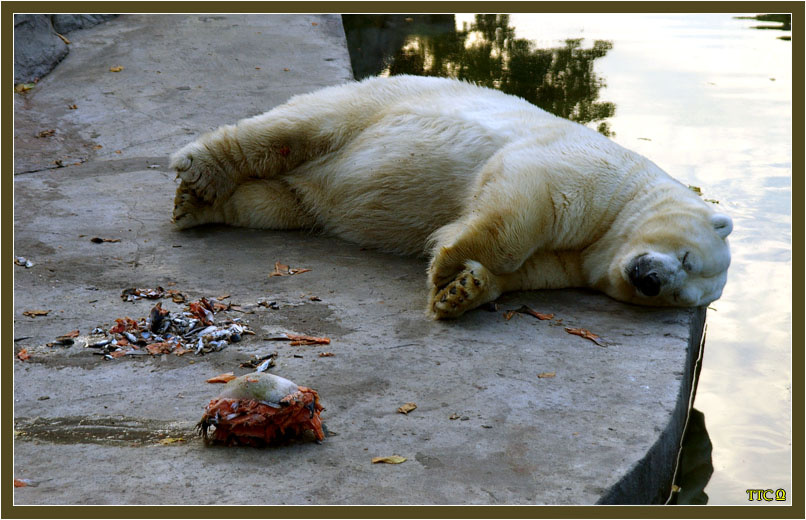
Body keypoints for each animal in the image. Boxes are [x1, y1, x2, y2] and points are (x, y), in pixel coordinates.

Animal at [170, 74, 732, 319]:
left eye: (680, 295)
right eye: (686, 257)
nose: (651, 280)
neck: (618, 219)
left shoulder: (581, 261)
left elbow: (530, 272)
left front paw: (463, 290)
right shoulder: (590, 173)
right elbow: (524, 200)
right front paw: (446, 263)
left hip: (307, 192)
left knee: (278, 203)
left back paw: (200, 206)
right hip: (377, 103)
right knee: (295, 128)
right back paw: (199, 175)